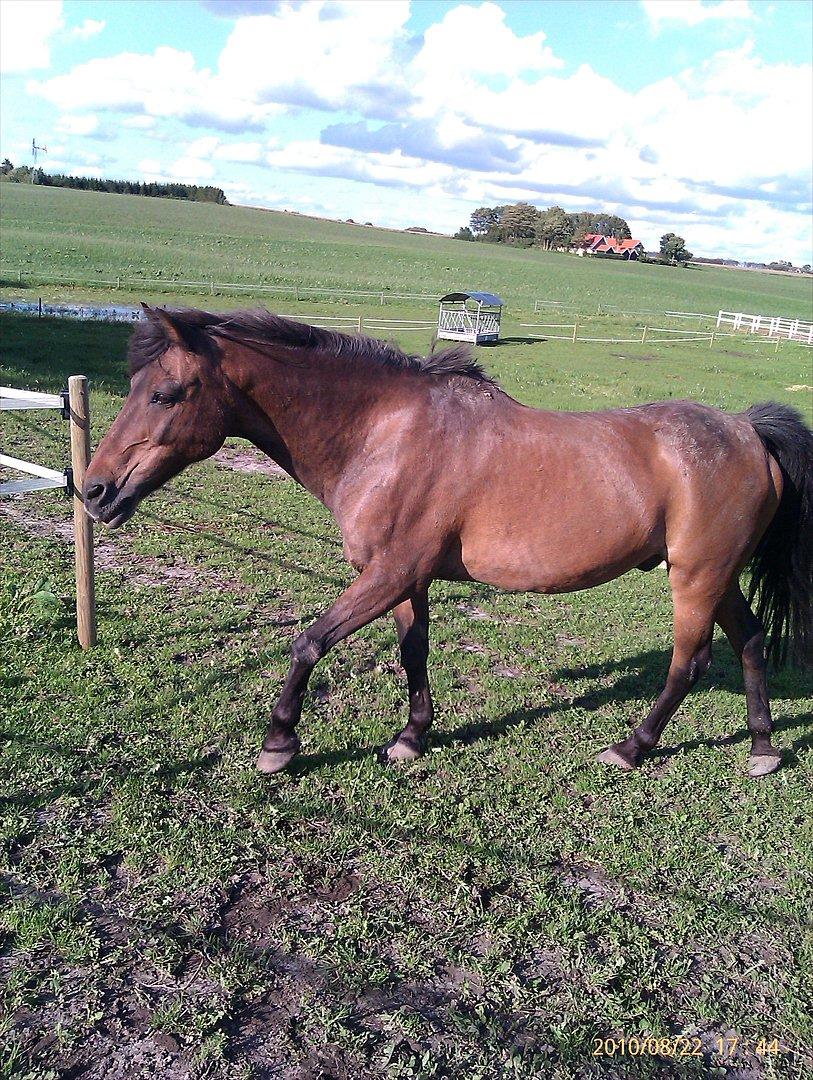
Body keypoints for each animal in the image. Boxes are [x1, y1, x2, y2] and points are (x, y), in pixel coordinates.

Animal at [85, 304, 807, 777]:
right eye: (135, 387)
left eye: (167, 393)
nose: (93, 491)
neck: (387, 433)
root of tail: (747, 432)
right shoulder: (408, 580)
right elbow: (414, 653)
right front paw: (410, 737)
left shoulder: (387, 574)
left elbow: (308, 642)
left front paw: (279, 743)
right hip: (717, 577)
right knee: (749, 642)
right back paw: (762, 750)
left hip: (695, 577)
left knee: (689, 662)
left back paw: (631, 747)